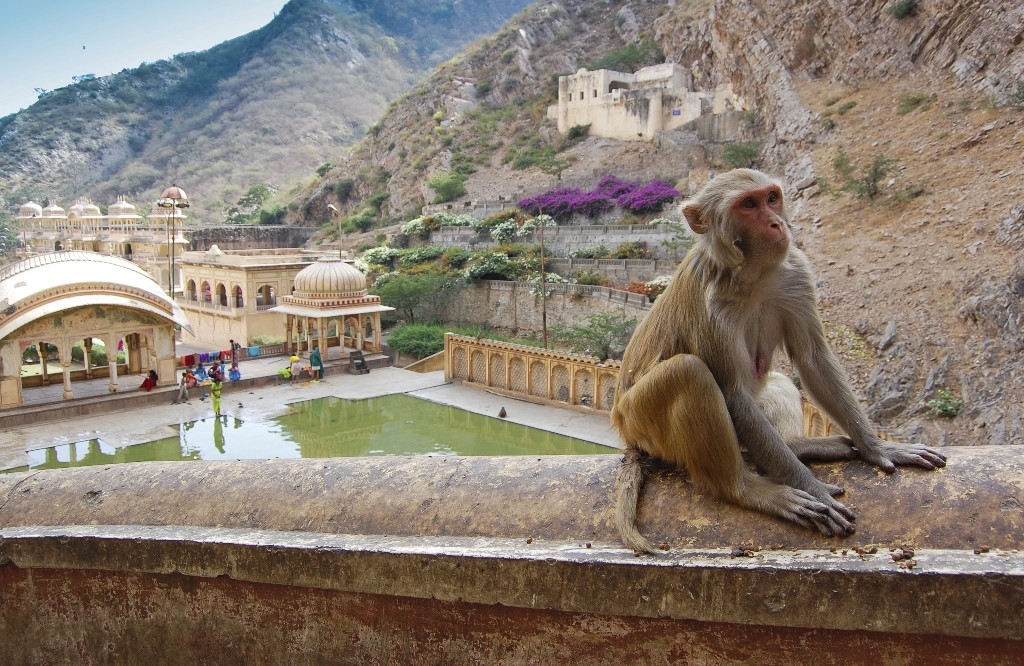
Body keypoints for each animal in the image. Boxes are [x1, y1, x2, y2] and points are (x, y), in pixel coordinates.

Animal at [611, 168, 946, 553]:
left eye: (771, 198)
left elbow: (812, 358)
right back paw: (748, 490)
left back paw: (800, 446)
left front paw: (877, 447)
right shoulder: (711, 305)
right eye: (748, 204)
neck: (751, 275)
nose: (776, 223)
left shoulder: (795, 272)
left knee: (776, 384)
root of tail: (625, 430)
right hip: (640, 420)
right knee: (688, 372)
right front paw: (810, 487)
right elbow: (733, 392)